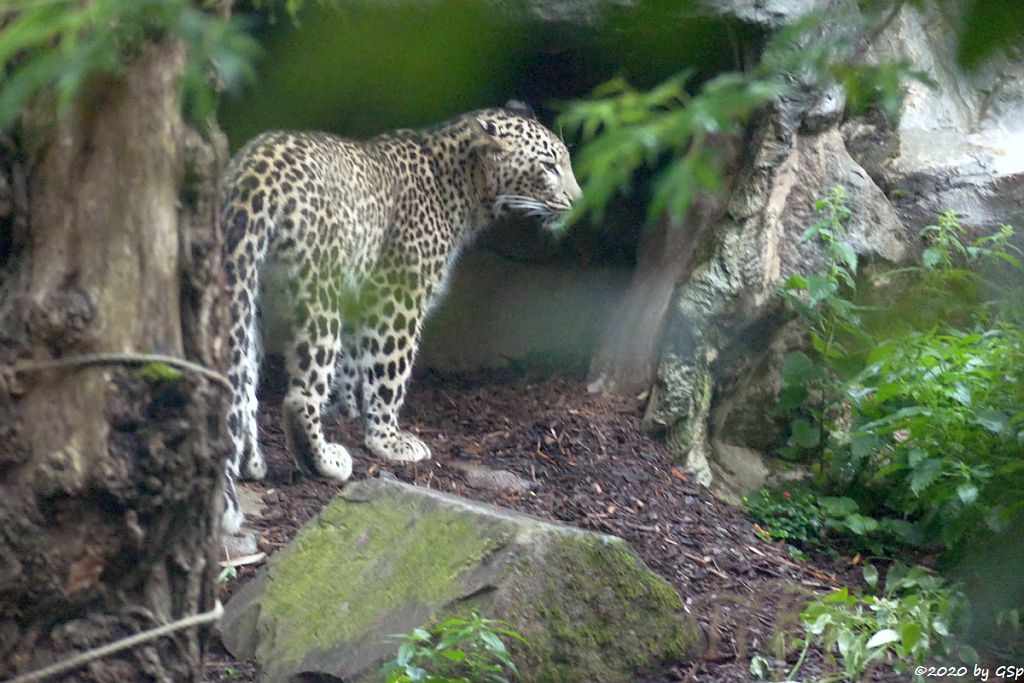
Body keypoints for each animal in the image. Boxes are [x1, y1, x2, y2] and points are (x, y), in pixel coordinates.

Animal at [219, 101, 581, 532]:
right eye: (549, 166)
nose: (578, 201)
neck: (466, 187)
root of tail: (256, 170)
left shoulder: (361, 292)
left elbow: (353, 364)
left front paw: (347, 410)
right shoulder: (398, 295)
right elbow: (389, 371)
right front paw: (388, 440)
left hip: (247, 289)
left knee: (241, 382)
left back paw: (251, 462)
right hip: (318, 287)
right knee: (299, 393)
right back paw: (324, 460)